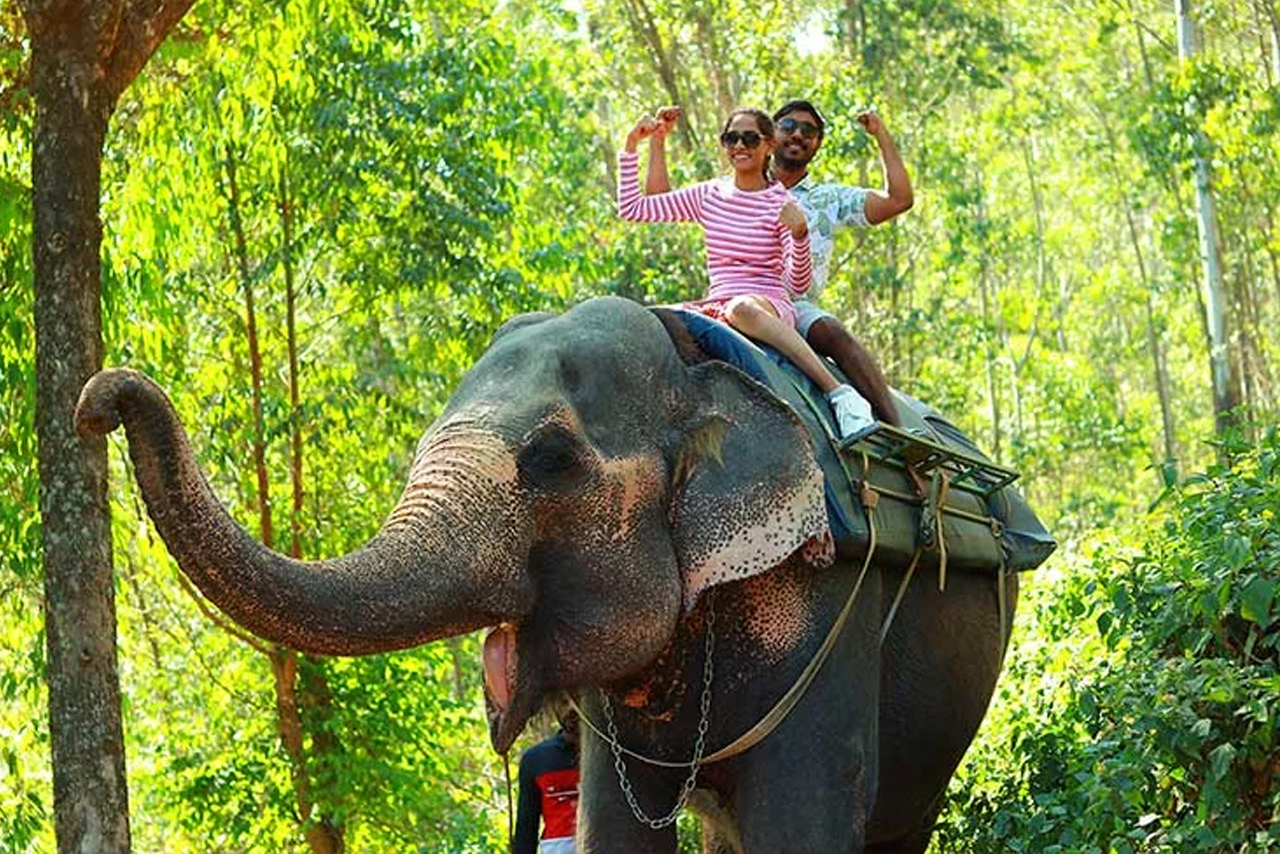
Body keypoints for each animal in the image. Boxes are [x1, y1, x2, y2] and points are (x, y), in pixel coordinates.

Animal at [76, 296, 1018, 852]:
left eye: (552, 461)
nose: (98, 400)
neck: (694, 365)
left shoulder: (828, 603)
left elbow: (804, 818)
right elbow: (613, 823)